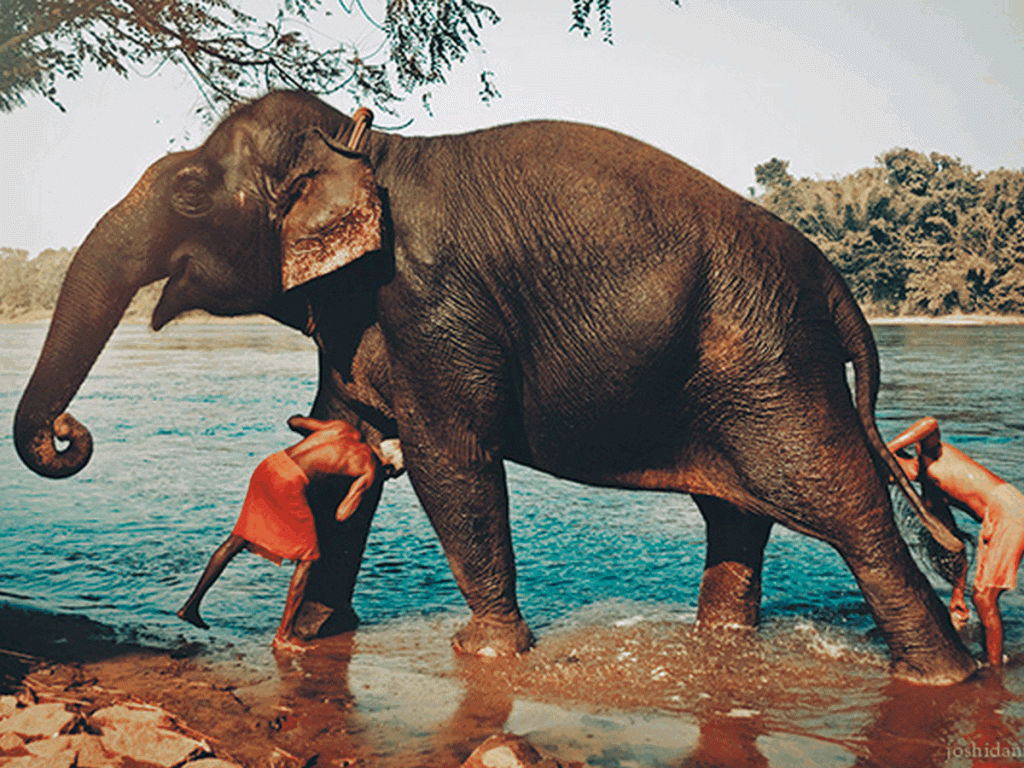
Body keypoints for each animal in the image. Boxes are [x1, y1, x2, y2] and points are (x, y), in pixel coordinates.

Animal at [14, 88, 974, 684]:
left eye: (187, 190)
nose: (68, 433)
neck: (368, 145)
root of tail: (835, 281)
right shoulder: (356, 318)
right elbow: (348, 445)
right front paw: (315, 643)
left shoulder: (433, 304)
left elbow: (451, 459)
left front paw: (485, 656)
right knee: (736, 515)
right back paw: (729, 646)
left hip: (769, 362)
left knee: (843, 502)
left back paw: (943, 677)